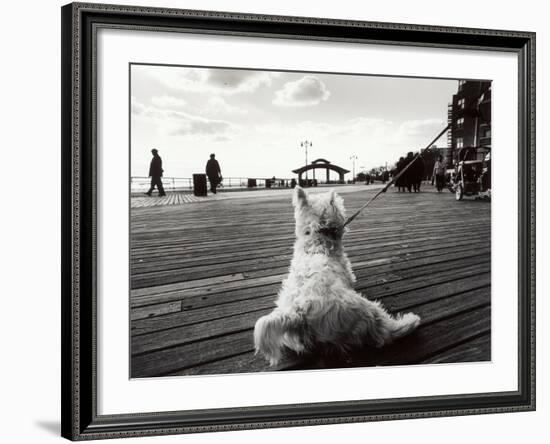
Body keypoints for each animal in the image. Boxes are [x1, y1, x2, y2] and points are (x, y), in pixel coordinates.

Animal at [256, 186, 422, 366]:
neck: (317, 237)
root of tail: (298, 312)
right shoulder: (347, 269)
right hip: (362, 310)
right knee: (383, 332)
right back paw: (410, 322)